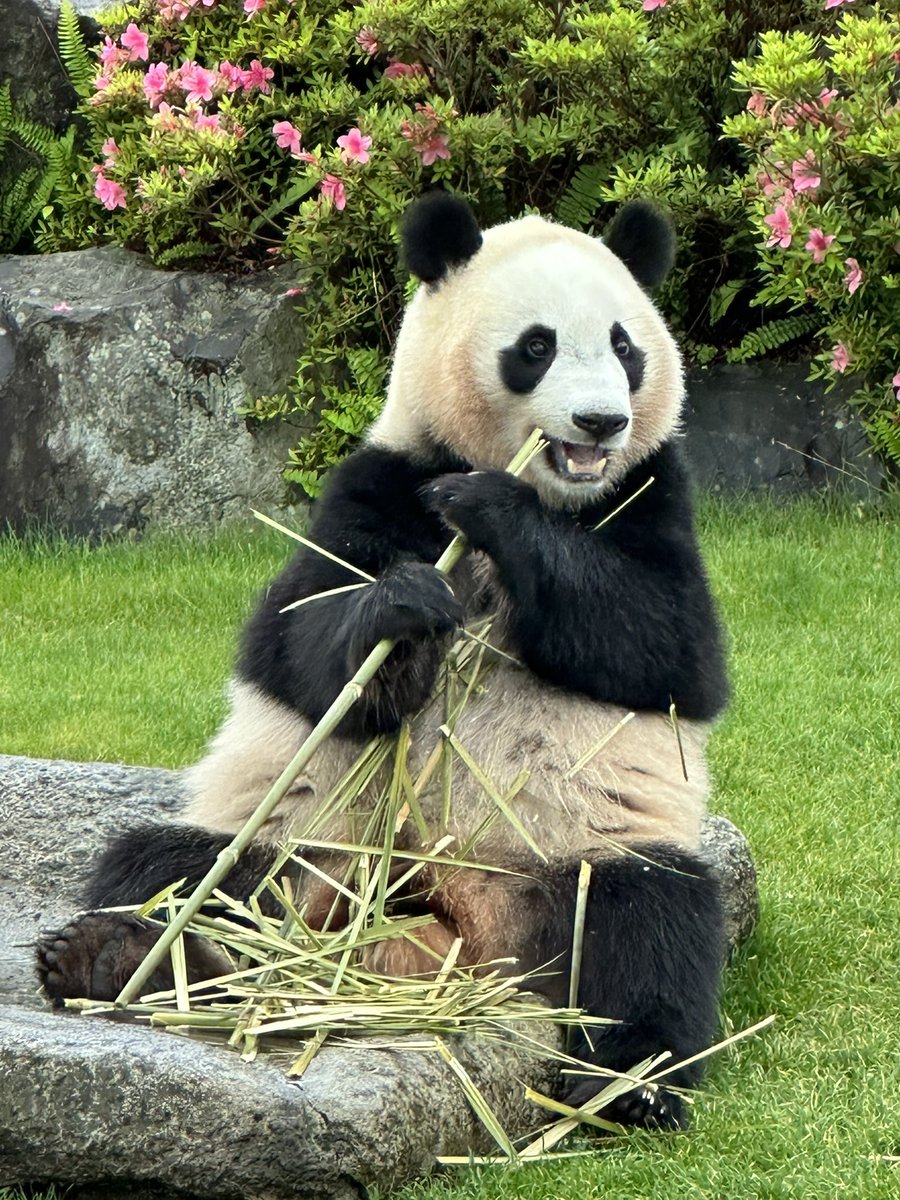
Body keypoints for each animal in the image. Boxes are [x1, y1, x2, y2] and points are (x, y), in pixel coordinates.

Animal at [37, 192, 734, 1128]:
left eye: (627, 347)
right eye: (537, 346)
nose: (601, 422)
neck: (560, 490)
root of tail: (448, 938)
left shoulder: (654, 493)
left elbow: (667, 647)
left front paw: (492, 510)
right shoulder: (381, 475)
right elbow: (295, 641)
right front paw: (402, 618)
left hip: (578, 855)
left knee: (650, 926)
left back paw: (626, 1084)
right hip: (302, 848)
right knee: (176, 867)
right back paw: (121, 958)